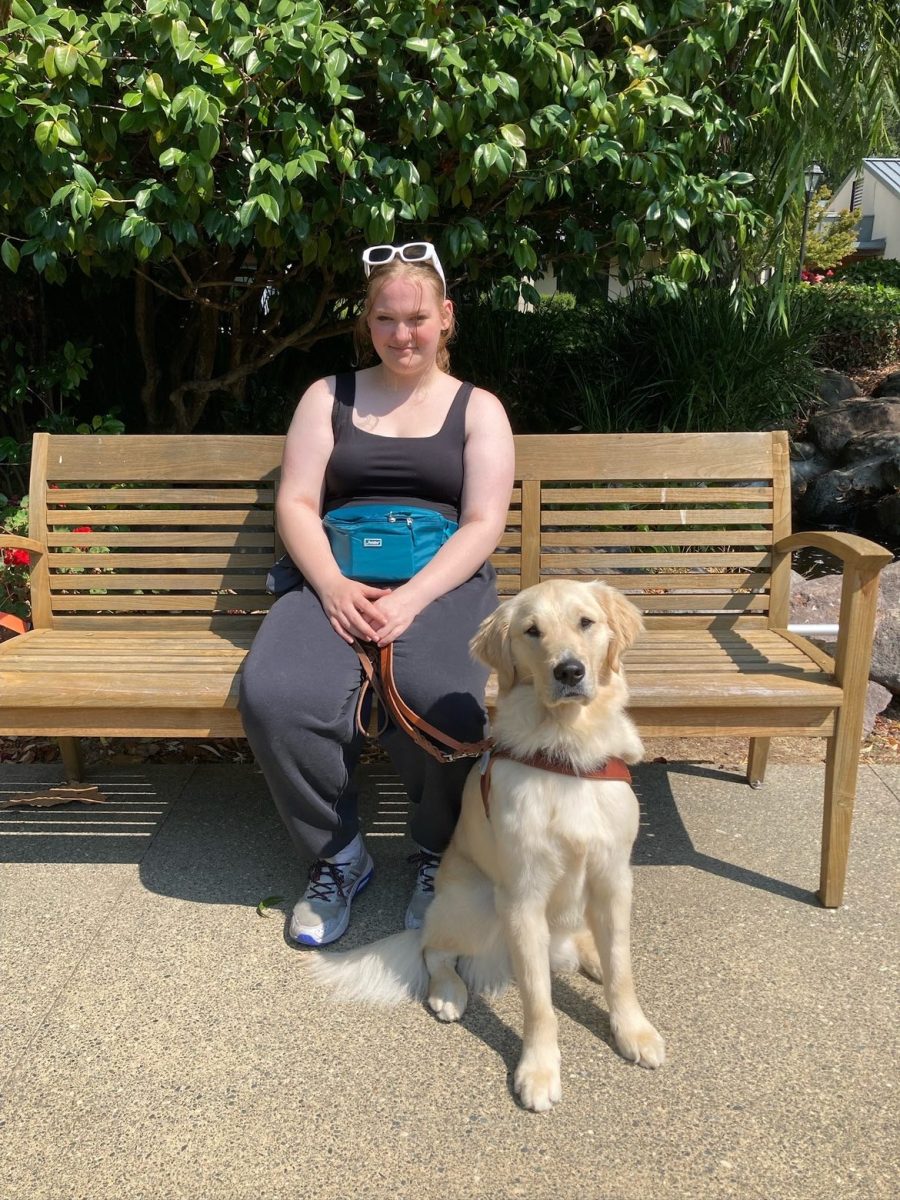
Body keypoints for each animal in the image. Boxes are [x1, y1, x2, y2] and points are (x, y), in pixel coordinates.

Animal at [309, 580, 662, 1113]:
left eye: (586, 623)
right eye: (532, 631)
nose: (570, 671)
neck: (566, 748)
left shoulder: (613, 876)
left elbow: (622, 969)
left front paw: (633, 1031)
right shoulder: (522, 896)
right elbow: (538, 1002)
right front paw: (538, 1070)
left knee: (580, 939)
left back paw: (589, 953)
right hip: (475, 900)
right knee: (434, 950)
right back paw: (448, 992)